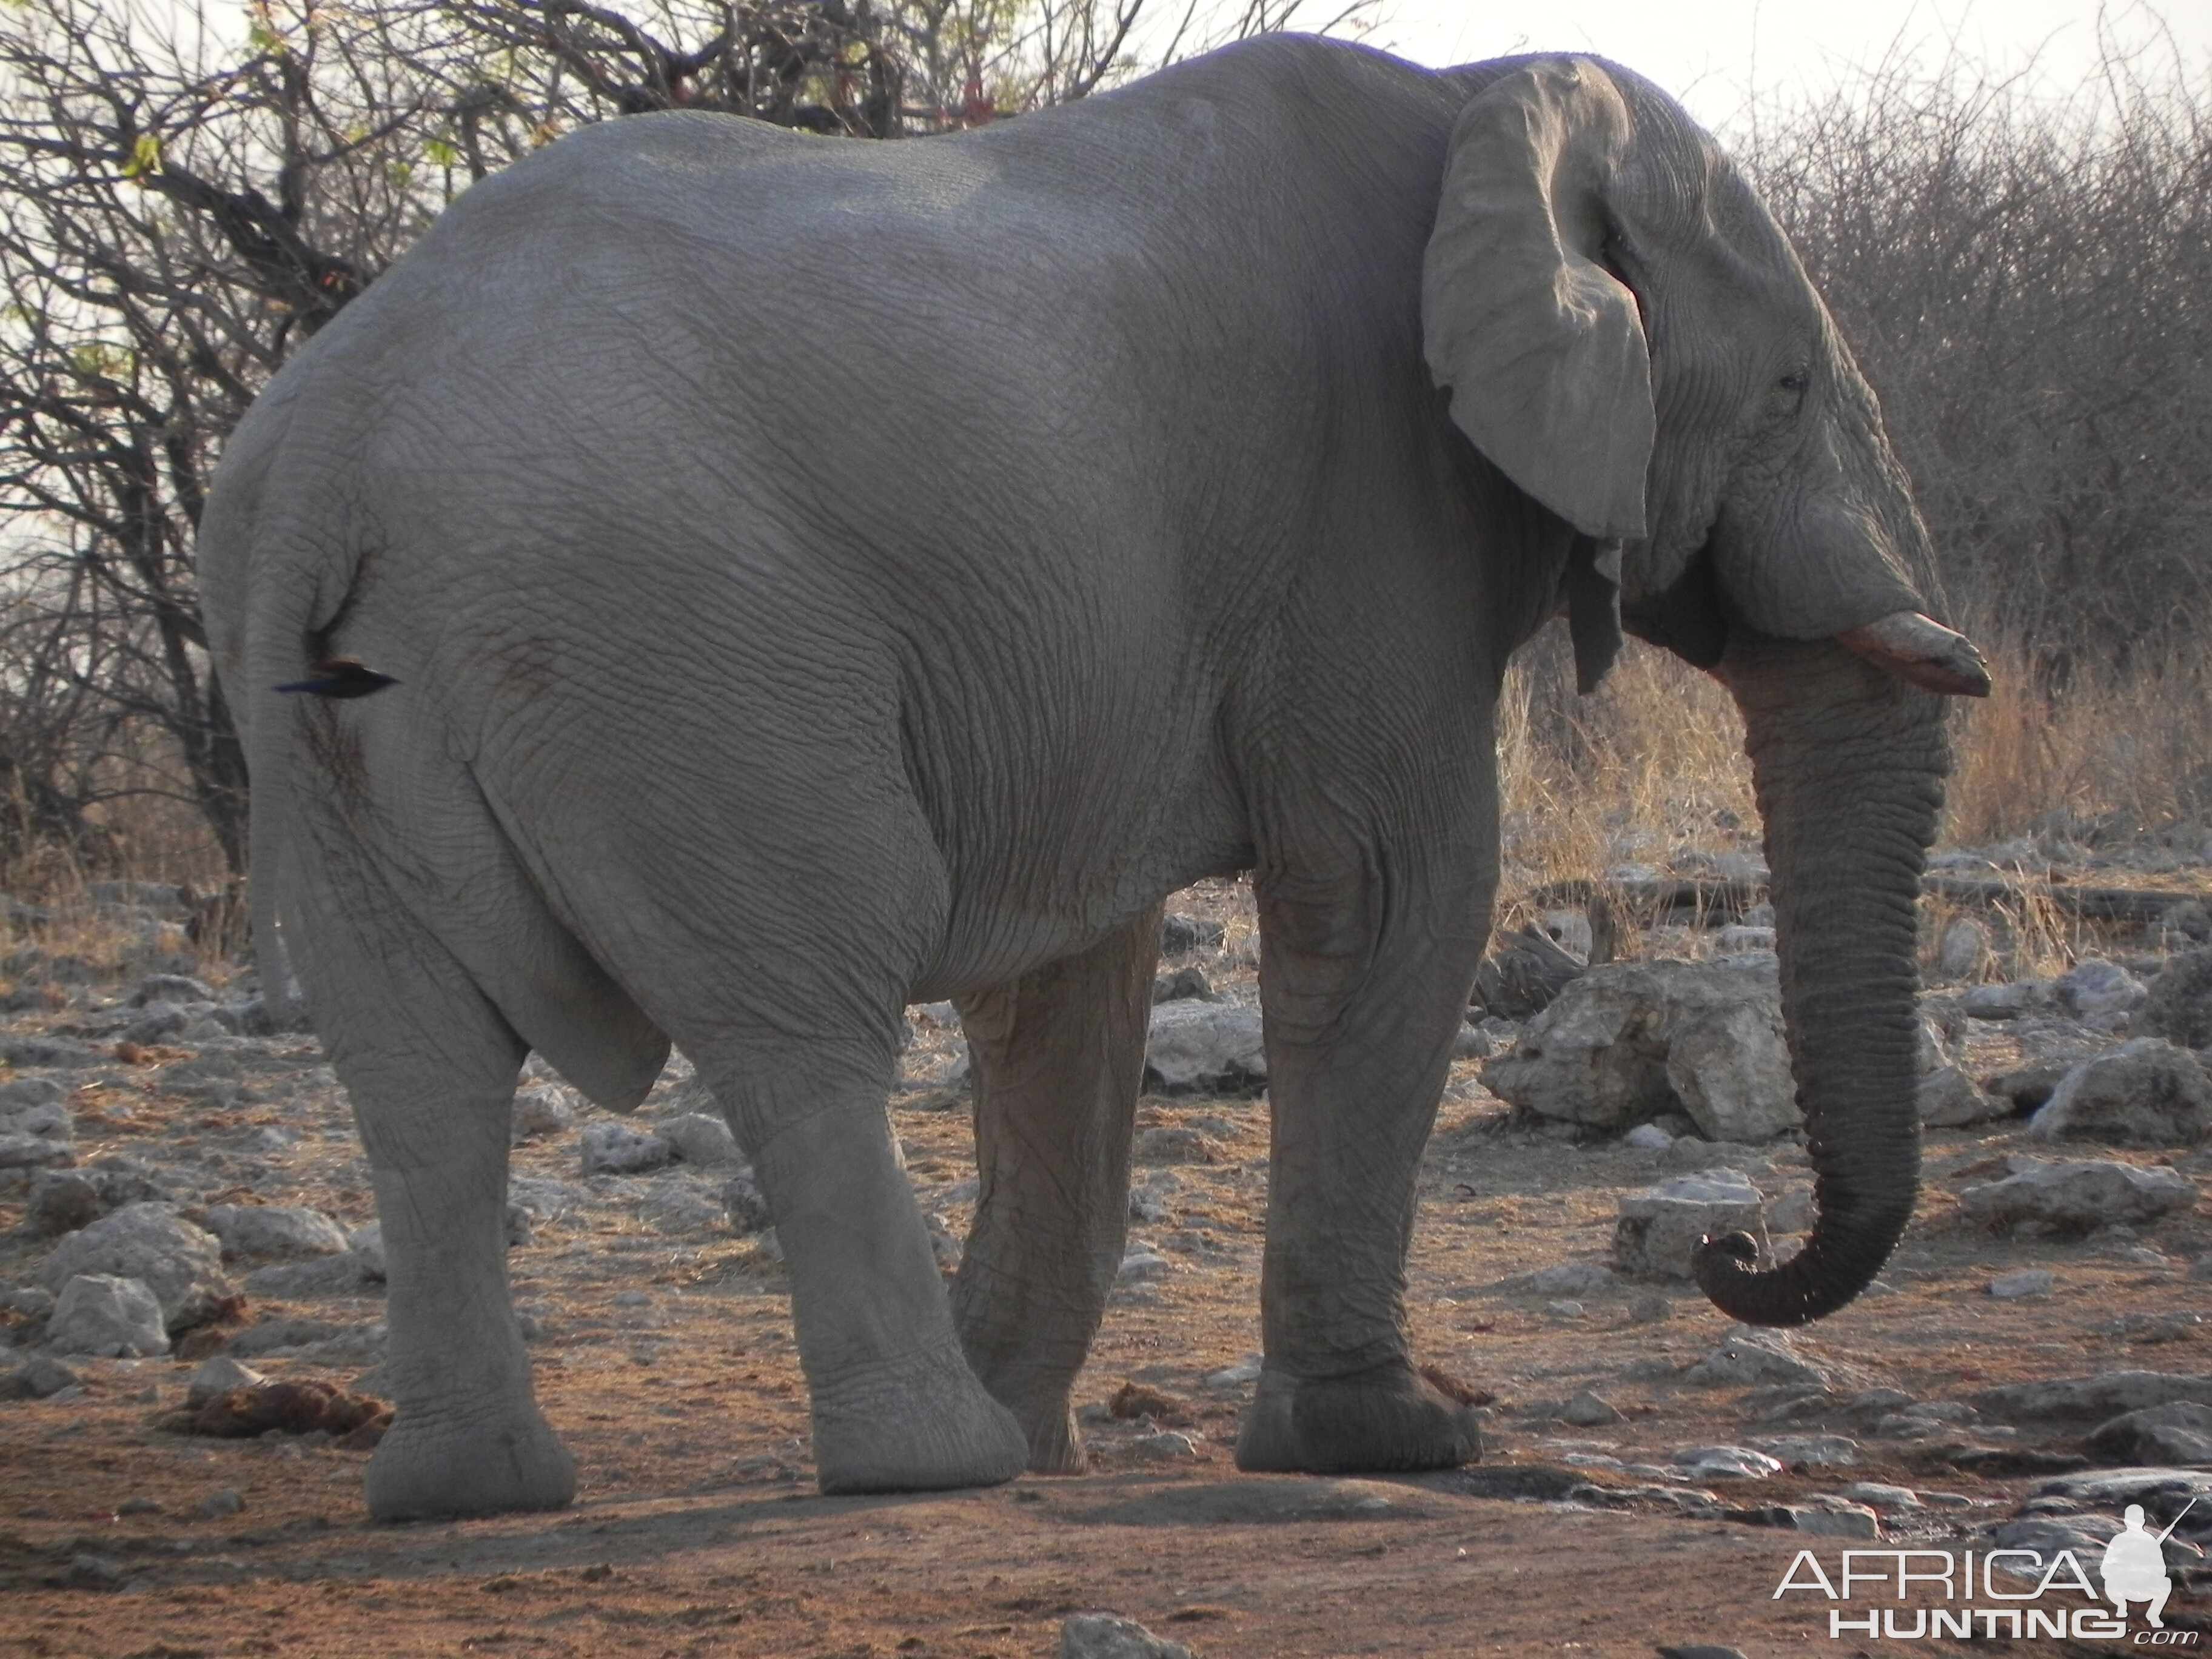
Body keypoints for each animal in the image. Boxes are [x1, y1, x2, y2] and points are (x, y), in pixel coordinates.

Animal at [195, 35, 1991, 1530]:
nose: (1728, 1248)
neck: (1486, 94)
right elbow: (1392, 889)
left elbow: (1069, 976)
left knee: (419, 1070)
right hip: (673, 649)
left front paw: (1056, 1428)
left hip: (333, 723)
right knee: (801, 1017)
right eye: (1790, 388)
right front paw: (1391, 1441)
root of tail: (330, 451)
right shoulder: (1368, 507)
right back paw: (930, 1463)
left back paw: (475, 1491)